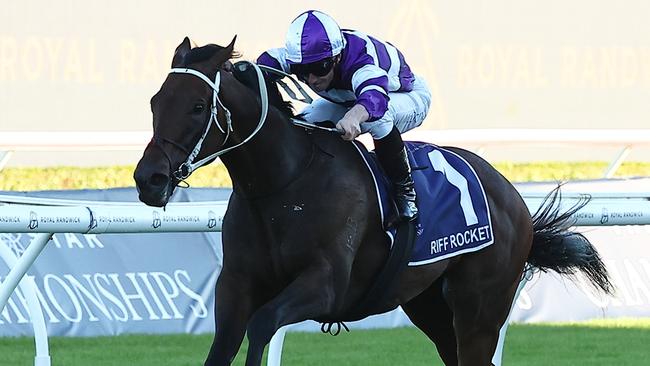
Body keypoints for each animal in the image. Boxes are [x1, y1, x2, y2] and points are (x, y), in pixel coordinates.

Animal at [133, 38, 612, 366]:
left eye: (198, 106)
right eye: (155, 101)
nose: (147, 179)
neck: (284, 184)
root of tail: (513, 196)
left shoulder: (325, 284)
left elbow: (263, 324)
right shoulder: (235, 284)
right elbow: (223, 345)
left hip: (480, 309)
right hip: (428, 304)